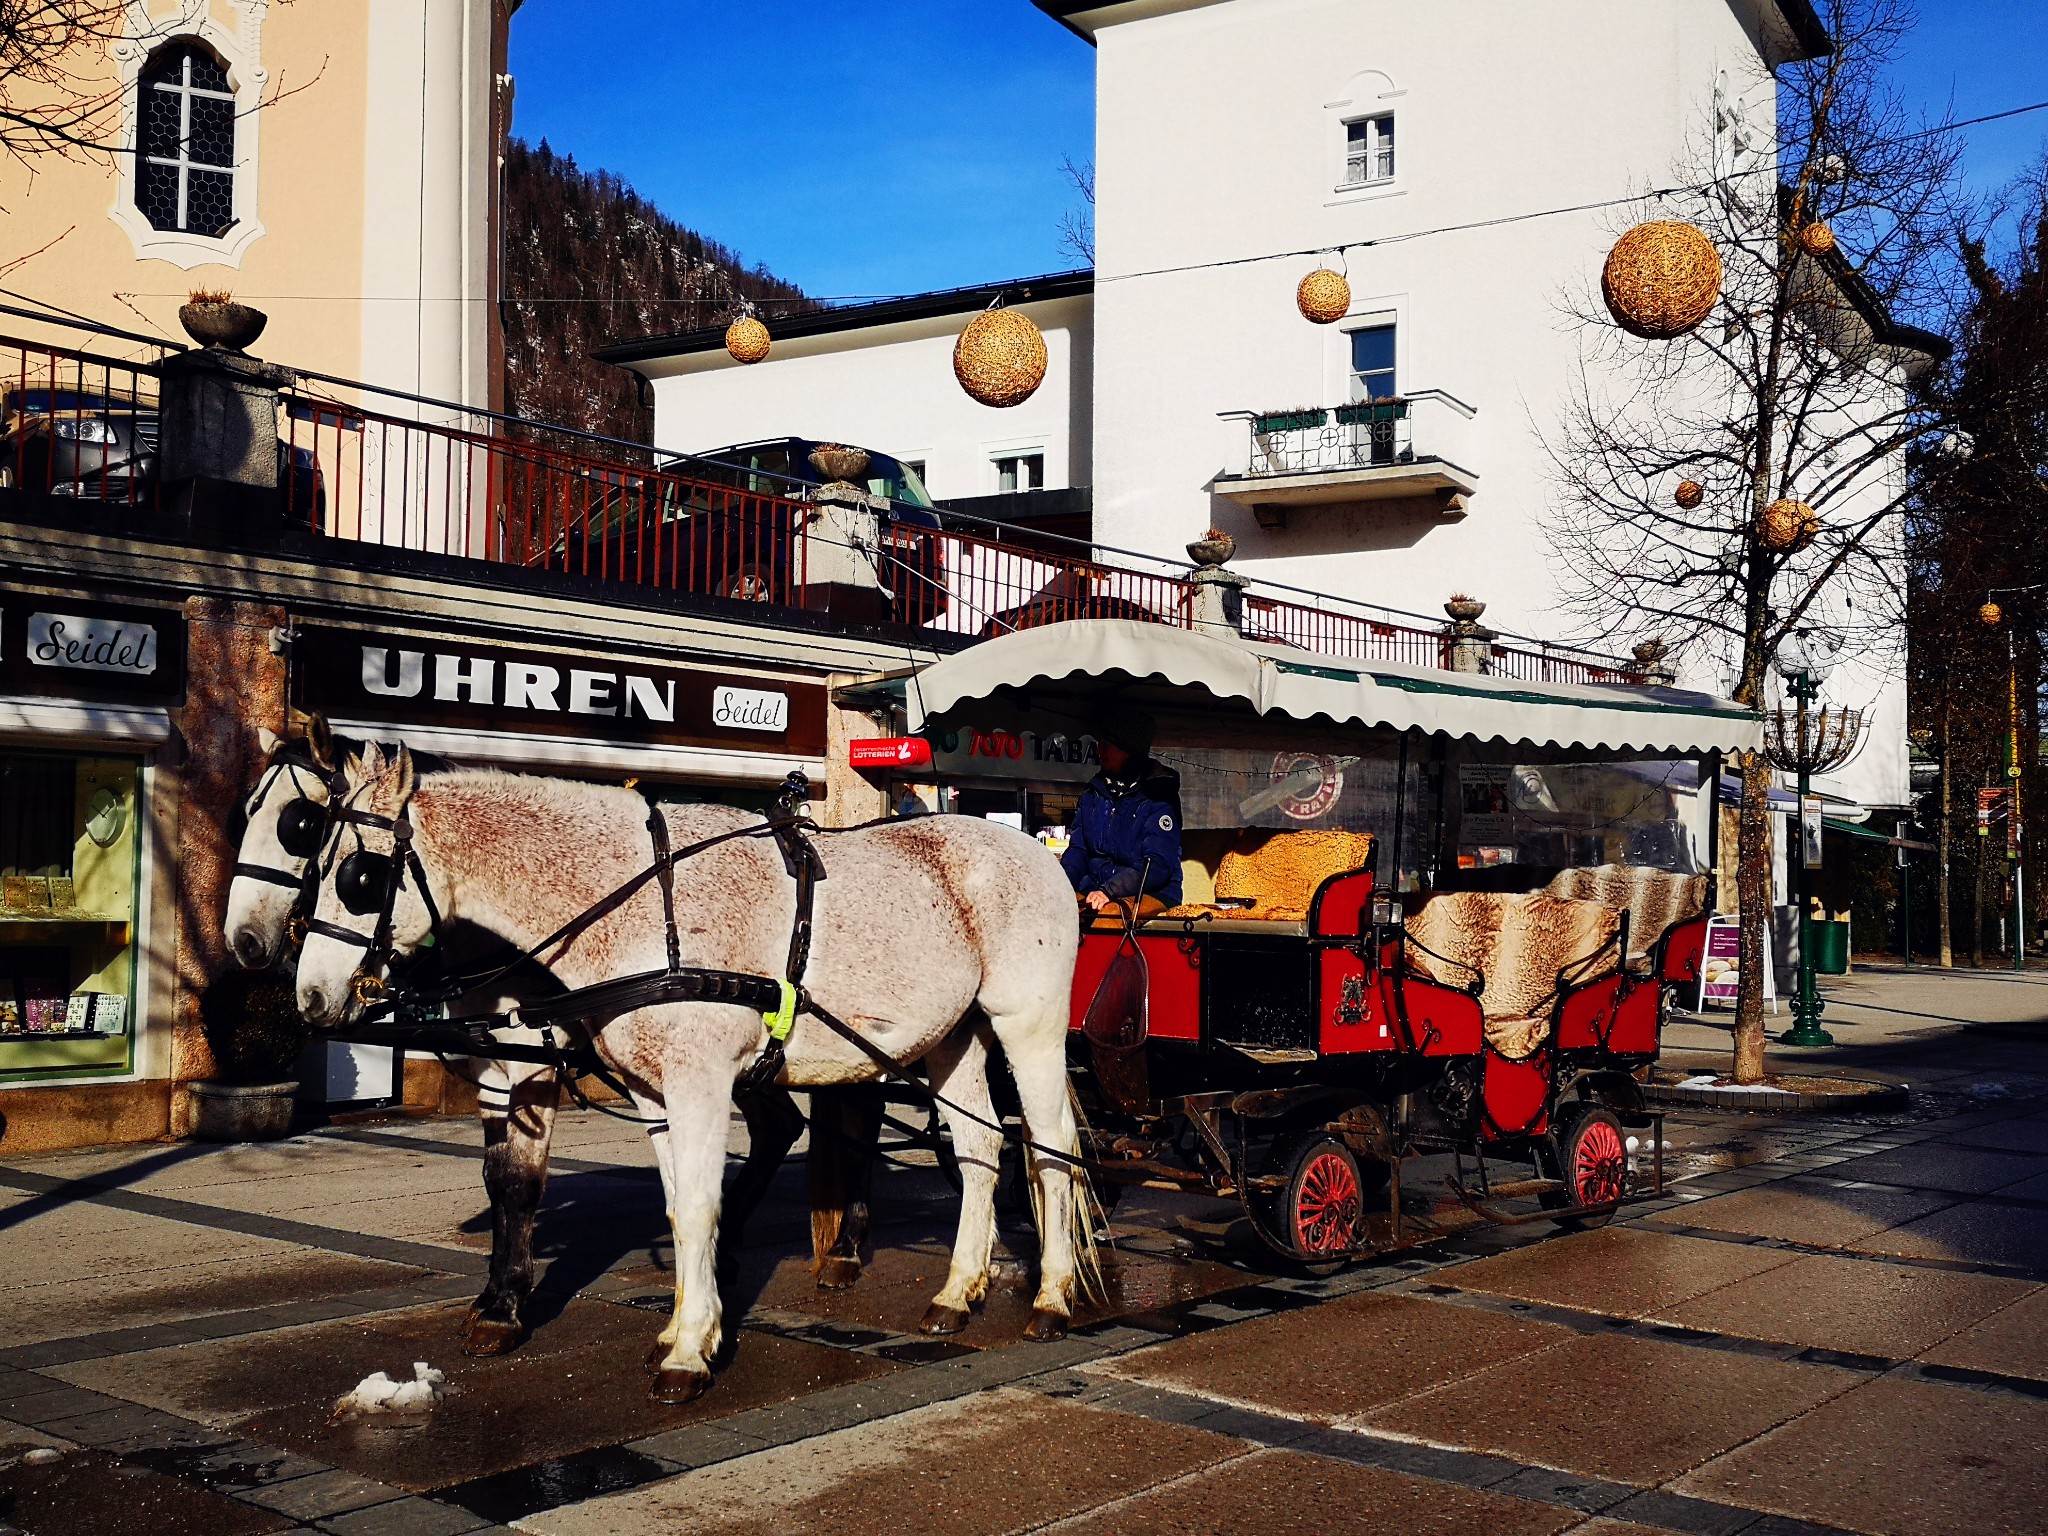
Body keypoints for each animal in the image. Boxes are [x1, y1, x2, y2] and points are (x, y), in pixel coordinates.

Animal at [299, 745, 1097, 1409]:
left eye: (361, 876)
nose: (307, 997)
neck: (637, 905)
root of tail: (1034, 849)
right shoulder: (655, 1094)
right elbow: (678, 1207)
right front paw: (691, 1324)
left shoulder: (701, 1085)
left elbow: (700, 1210)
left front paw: (687, 1353)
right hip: (952, 1039)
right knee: (980, 1150)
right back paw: (958, 1292)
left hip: (1026, 1025)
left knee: (1052, 1149)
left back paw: (1053, 1297)